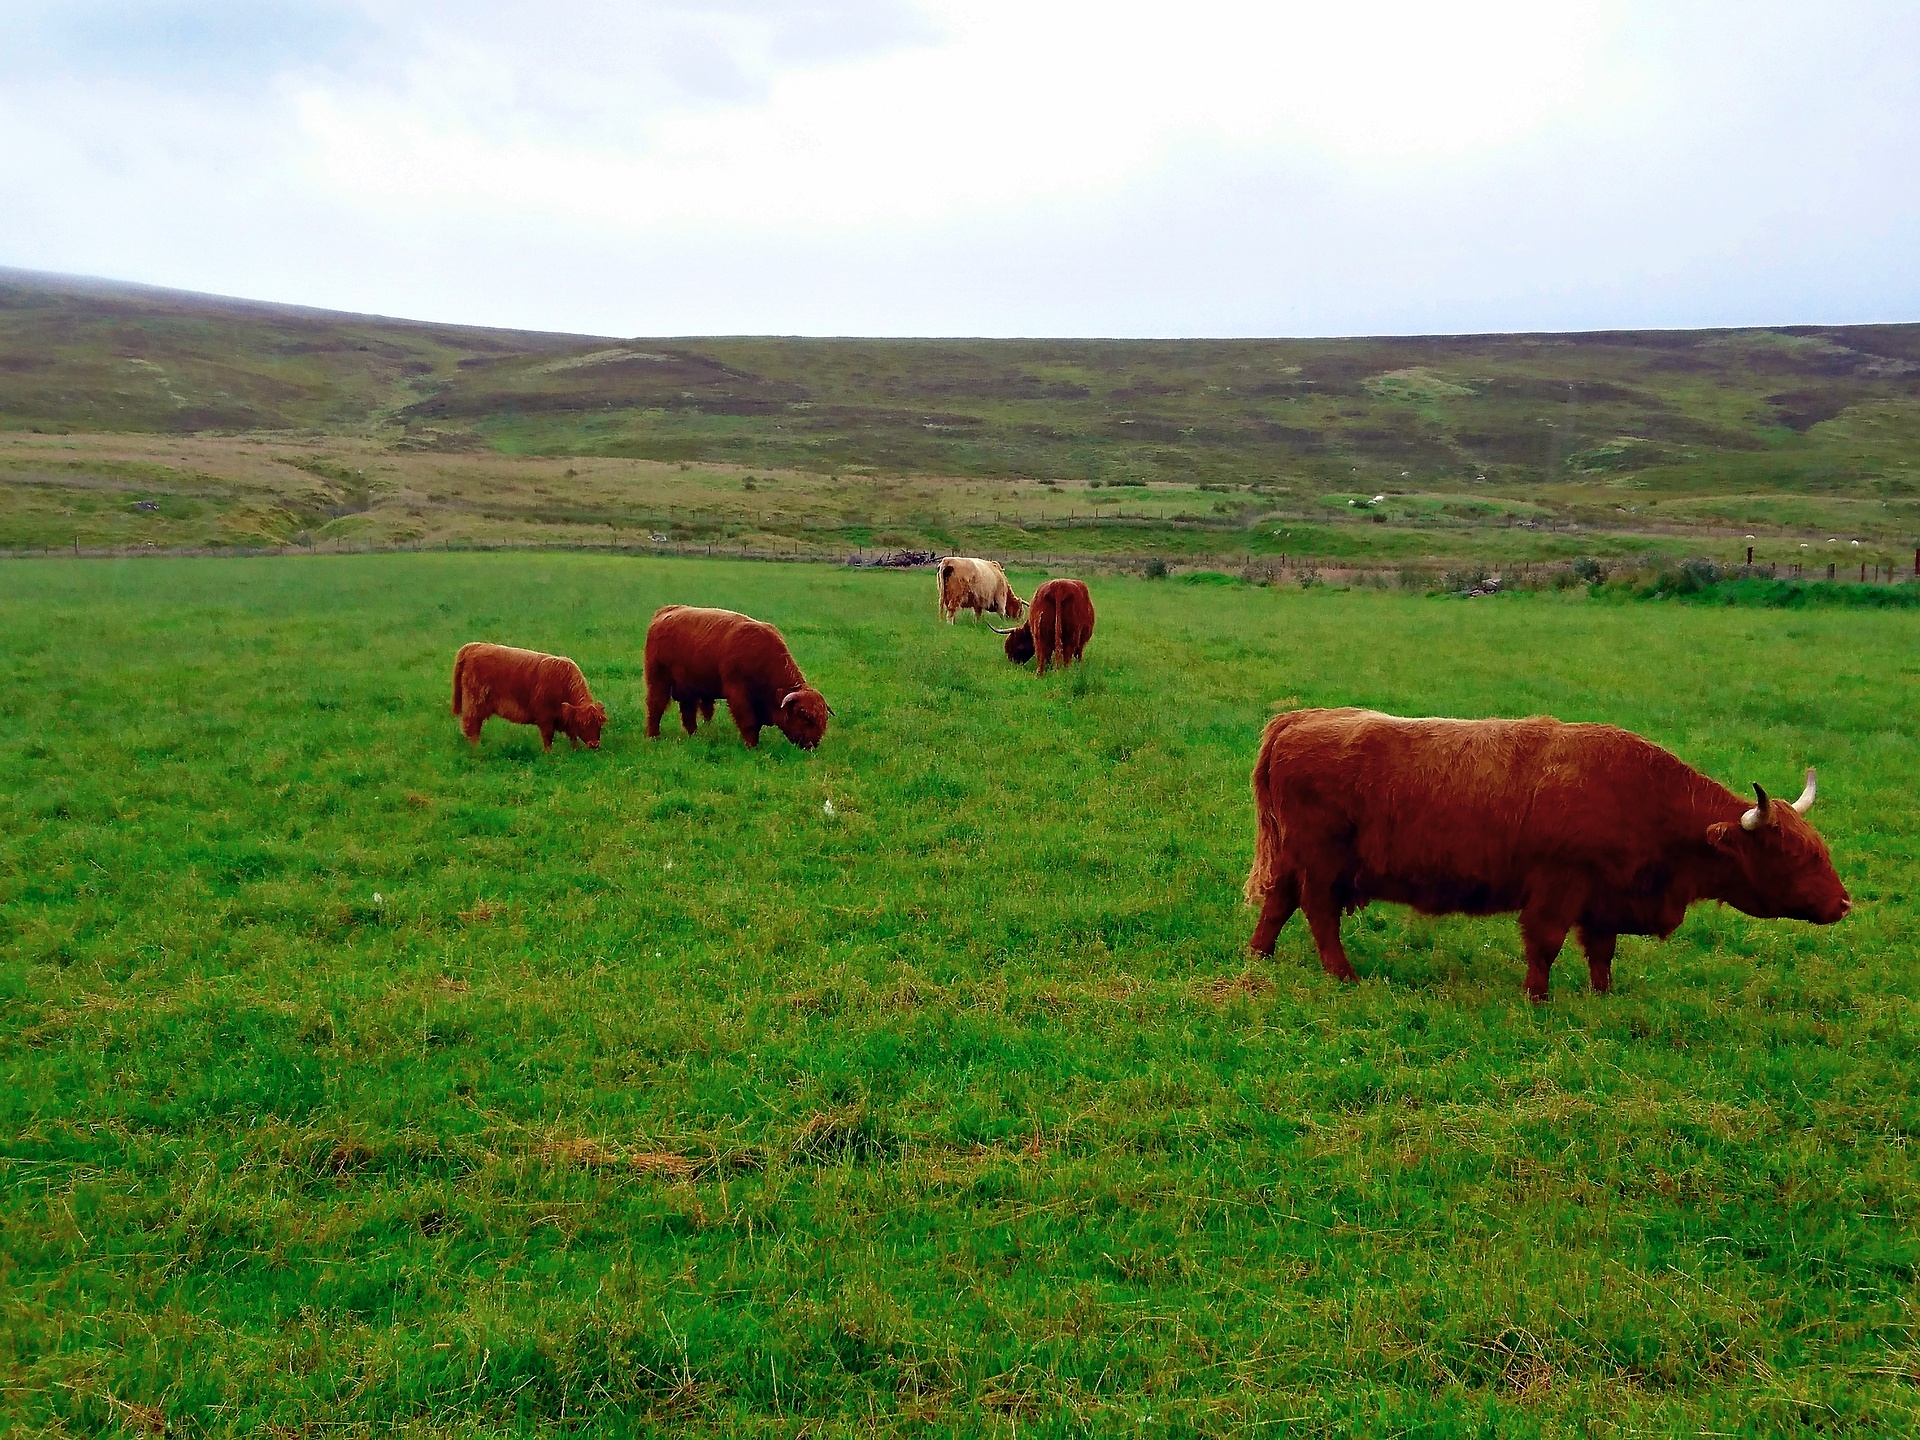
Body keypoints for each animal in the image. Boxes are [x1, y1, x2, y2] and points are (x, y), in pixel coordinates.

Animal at [447, 645, 602, 756]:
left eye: (599, 724)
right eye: (583, 724)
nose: (594, 744)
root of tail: (474, 646)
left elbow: (572, 735)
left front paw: (575, 750)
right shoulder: (545, 717)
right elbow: (548, 737)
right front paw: (548, 754)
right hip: (475, 703)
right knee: (471, 725)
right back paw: (478, 747)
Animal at [645, 606, 833, 756]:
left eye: (823, 719)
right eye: (804, 716)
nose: (812, 745)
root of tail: (664, 612)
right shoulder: (738, 695)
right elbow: (748, 723)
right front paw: (752, 747)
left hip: (688, 689)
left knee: (688, 713)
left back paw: (694, 736)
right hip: (658, 681)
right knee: (656, 706)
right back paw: (653, 736)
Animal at [1244, 710, 1843, 1006]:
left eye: (1819, 849)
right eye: (1791, 854)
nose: (1843, 904)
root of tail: (1296, 720)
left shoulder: (1604, 896)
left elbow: (1601, 951)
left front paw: (1603, 996)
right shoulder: (1559, 886)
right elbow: (1546, 944)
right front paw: (1538, 998)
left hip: (1295, 858)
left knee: (1278, 902)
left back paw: (1259, 957)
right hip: (1321, 863)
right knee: (1318, 912)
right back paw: (1344, 975)